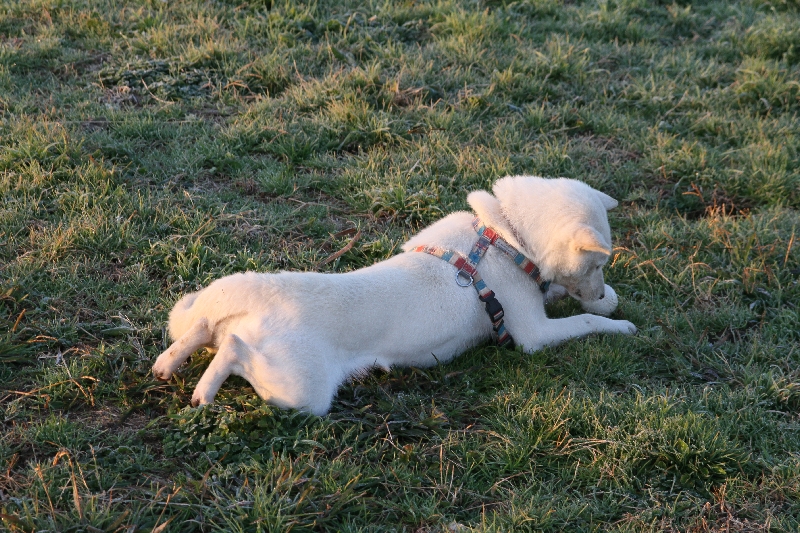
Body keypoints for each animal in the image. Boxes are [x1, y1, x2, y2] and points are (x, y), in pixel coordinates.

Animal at [152, 176, 637, 415]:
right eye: (597, 264)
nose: (598, 289)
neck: (500, 233)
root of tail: (259, 294)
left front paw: (604, 301)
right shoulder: (534, 333)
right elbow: (585, 321)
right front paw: (616, 320)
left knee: (202, 331)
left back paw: (169, 365)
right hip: (299, 390)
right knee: (232, 348)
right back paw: (204, 391)